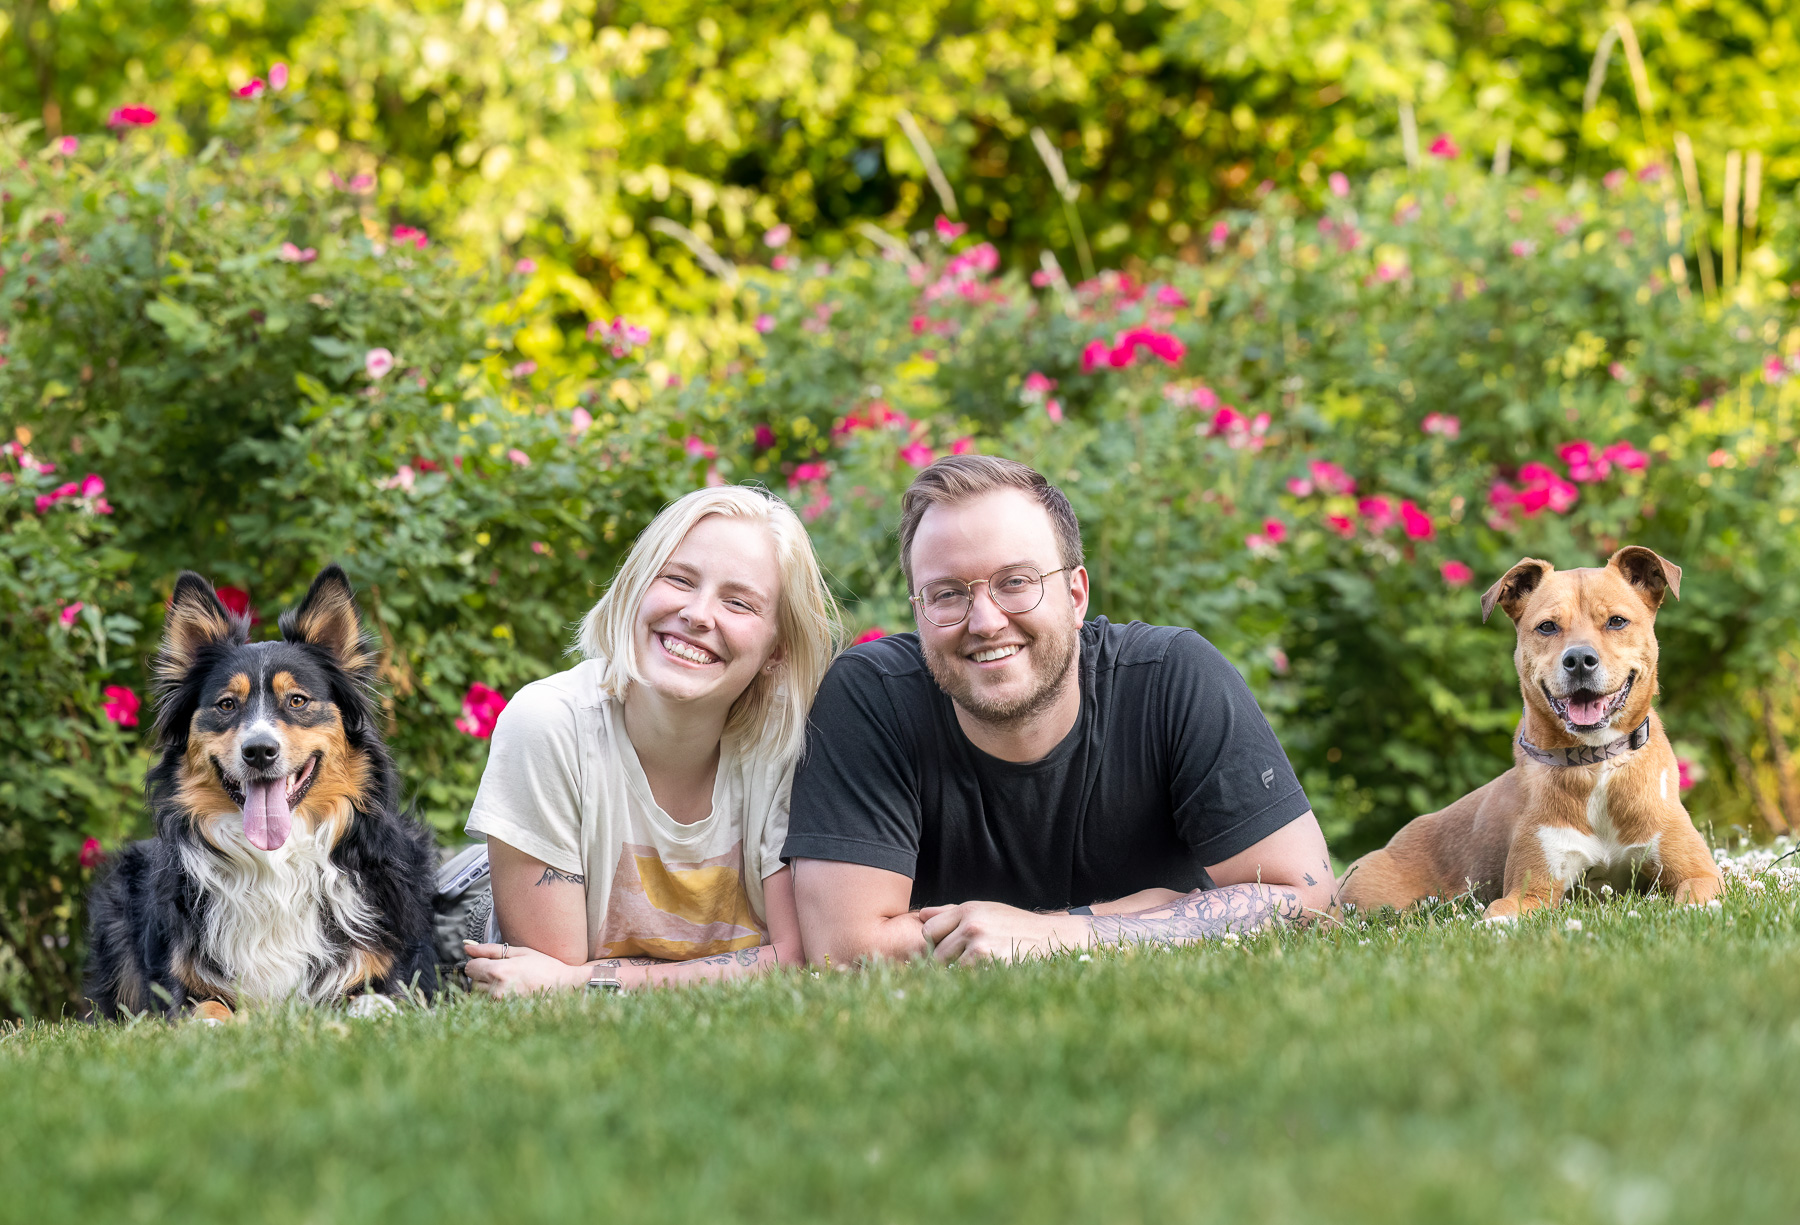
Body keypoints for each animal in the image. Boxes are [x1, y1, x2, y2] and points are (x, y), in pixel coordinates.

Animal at [1346, 546, 1720, 917]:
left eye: (1616, 621)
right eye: (1547, 627)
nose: (1579, 660)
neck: (1596, 762)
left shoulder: (1700, 874)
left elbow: (1694, 899)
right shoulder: (1530, 890)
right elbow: (1499, 913)